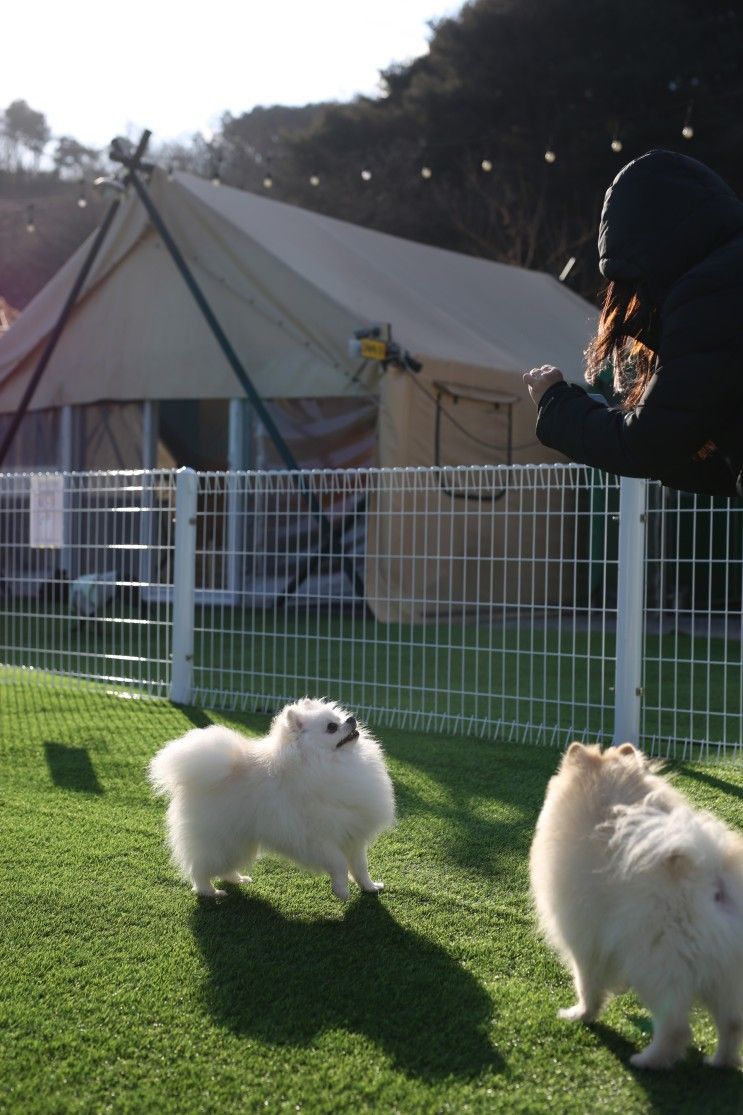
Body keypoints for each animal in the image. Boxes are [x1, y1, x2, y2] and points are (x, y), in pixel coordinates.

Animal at [147, 700, 397, 900]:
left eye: (339, 718)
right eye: (332, 727)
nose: (352, 719)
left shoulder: (353, 837)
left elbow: (360, 867)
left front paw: (370, 887)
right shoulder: (318, 840)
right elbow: (339, 864)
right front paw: (342, 892)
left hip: (238, 840)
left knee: (225, 865)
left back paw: (237, 879)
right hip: (217, 840)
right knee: (199, 869)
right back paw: (210, 892)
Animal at [526, 744, 740, 1065]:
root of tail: (710, 877)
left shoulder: (584, 938)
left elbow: (587, 984)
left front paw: (581, 1014)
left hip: (654, 965)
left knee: (676, 1027)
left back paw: (647, 1060)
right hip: (724, 980)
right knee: (731, 1025)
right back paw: (718, 1062)